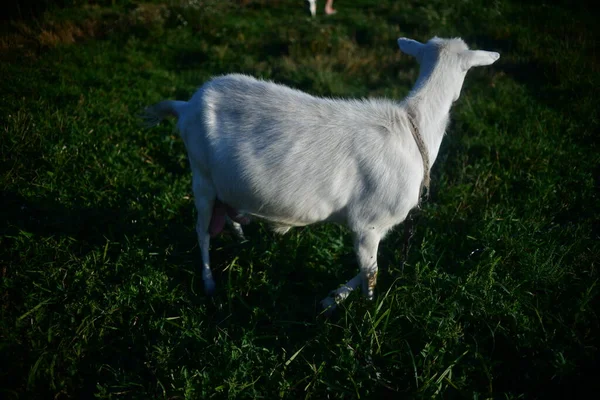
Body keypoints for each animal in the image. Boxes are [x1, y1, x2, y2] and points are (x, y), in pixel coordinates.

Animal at [143, 36, 500, 312]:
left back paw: (241, 239)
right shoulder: (367, 224)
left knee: (225, 213)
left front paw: (334, 298)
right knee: (202, 232)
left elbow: (368, 268)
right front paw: (366, 310)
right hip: (200, 176)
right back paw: (208, 283)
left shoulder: (374, 228)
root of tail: (186, 105)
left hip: (222, 183)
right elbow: (371, 272)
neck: (413, 128)